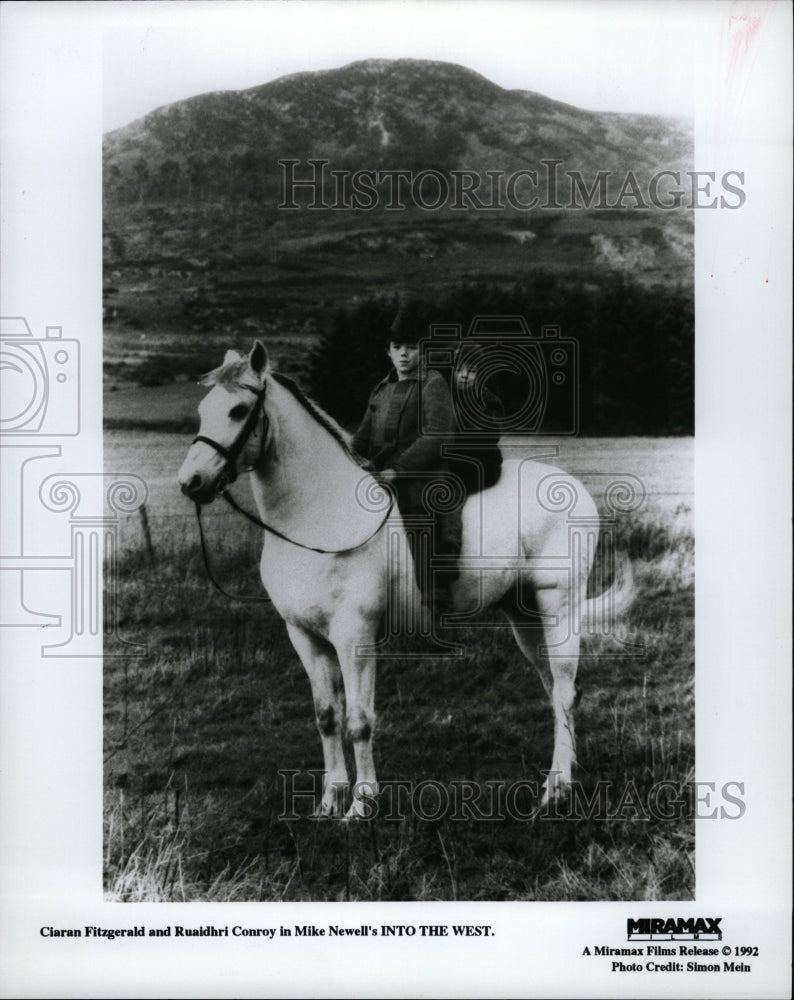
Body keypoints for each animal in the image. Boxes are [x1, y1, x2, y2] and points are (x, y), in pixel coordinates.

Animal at [178, 344, 632, 820]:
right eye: (203, 409)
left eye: (238, 409)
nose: (191, 483)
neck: (319, 514)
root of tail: (575, 489)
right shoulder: (305, 637)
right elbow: (327, 716)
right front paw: (329, 801)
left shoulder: (354, 636)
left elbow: (359, 720)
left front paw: (361, 804)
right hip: (524, 617)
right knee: (556, 689)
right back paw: (564, 777)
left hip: (559, 609)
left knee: (563, 691)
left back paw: (555, 790)